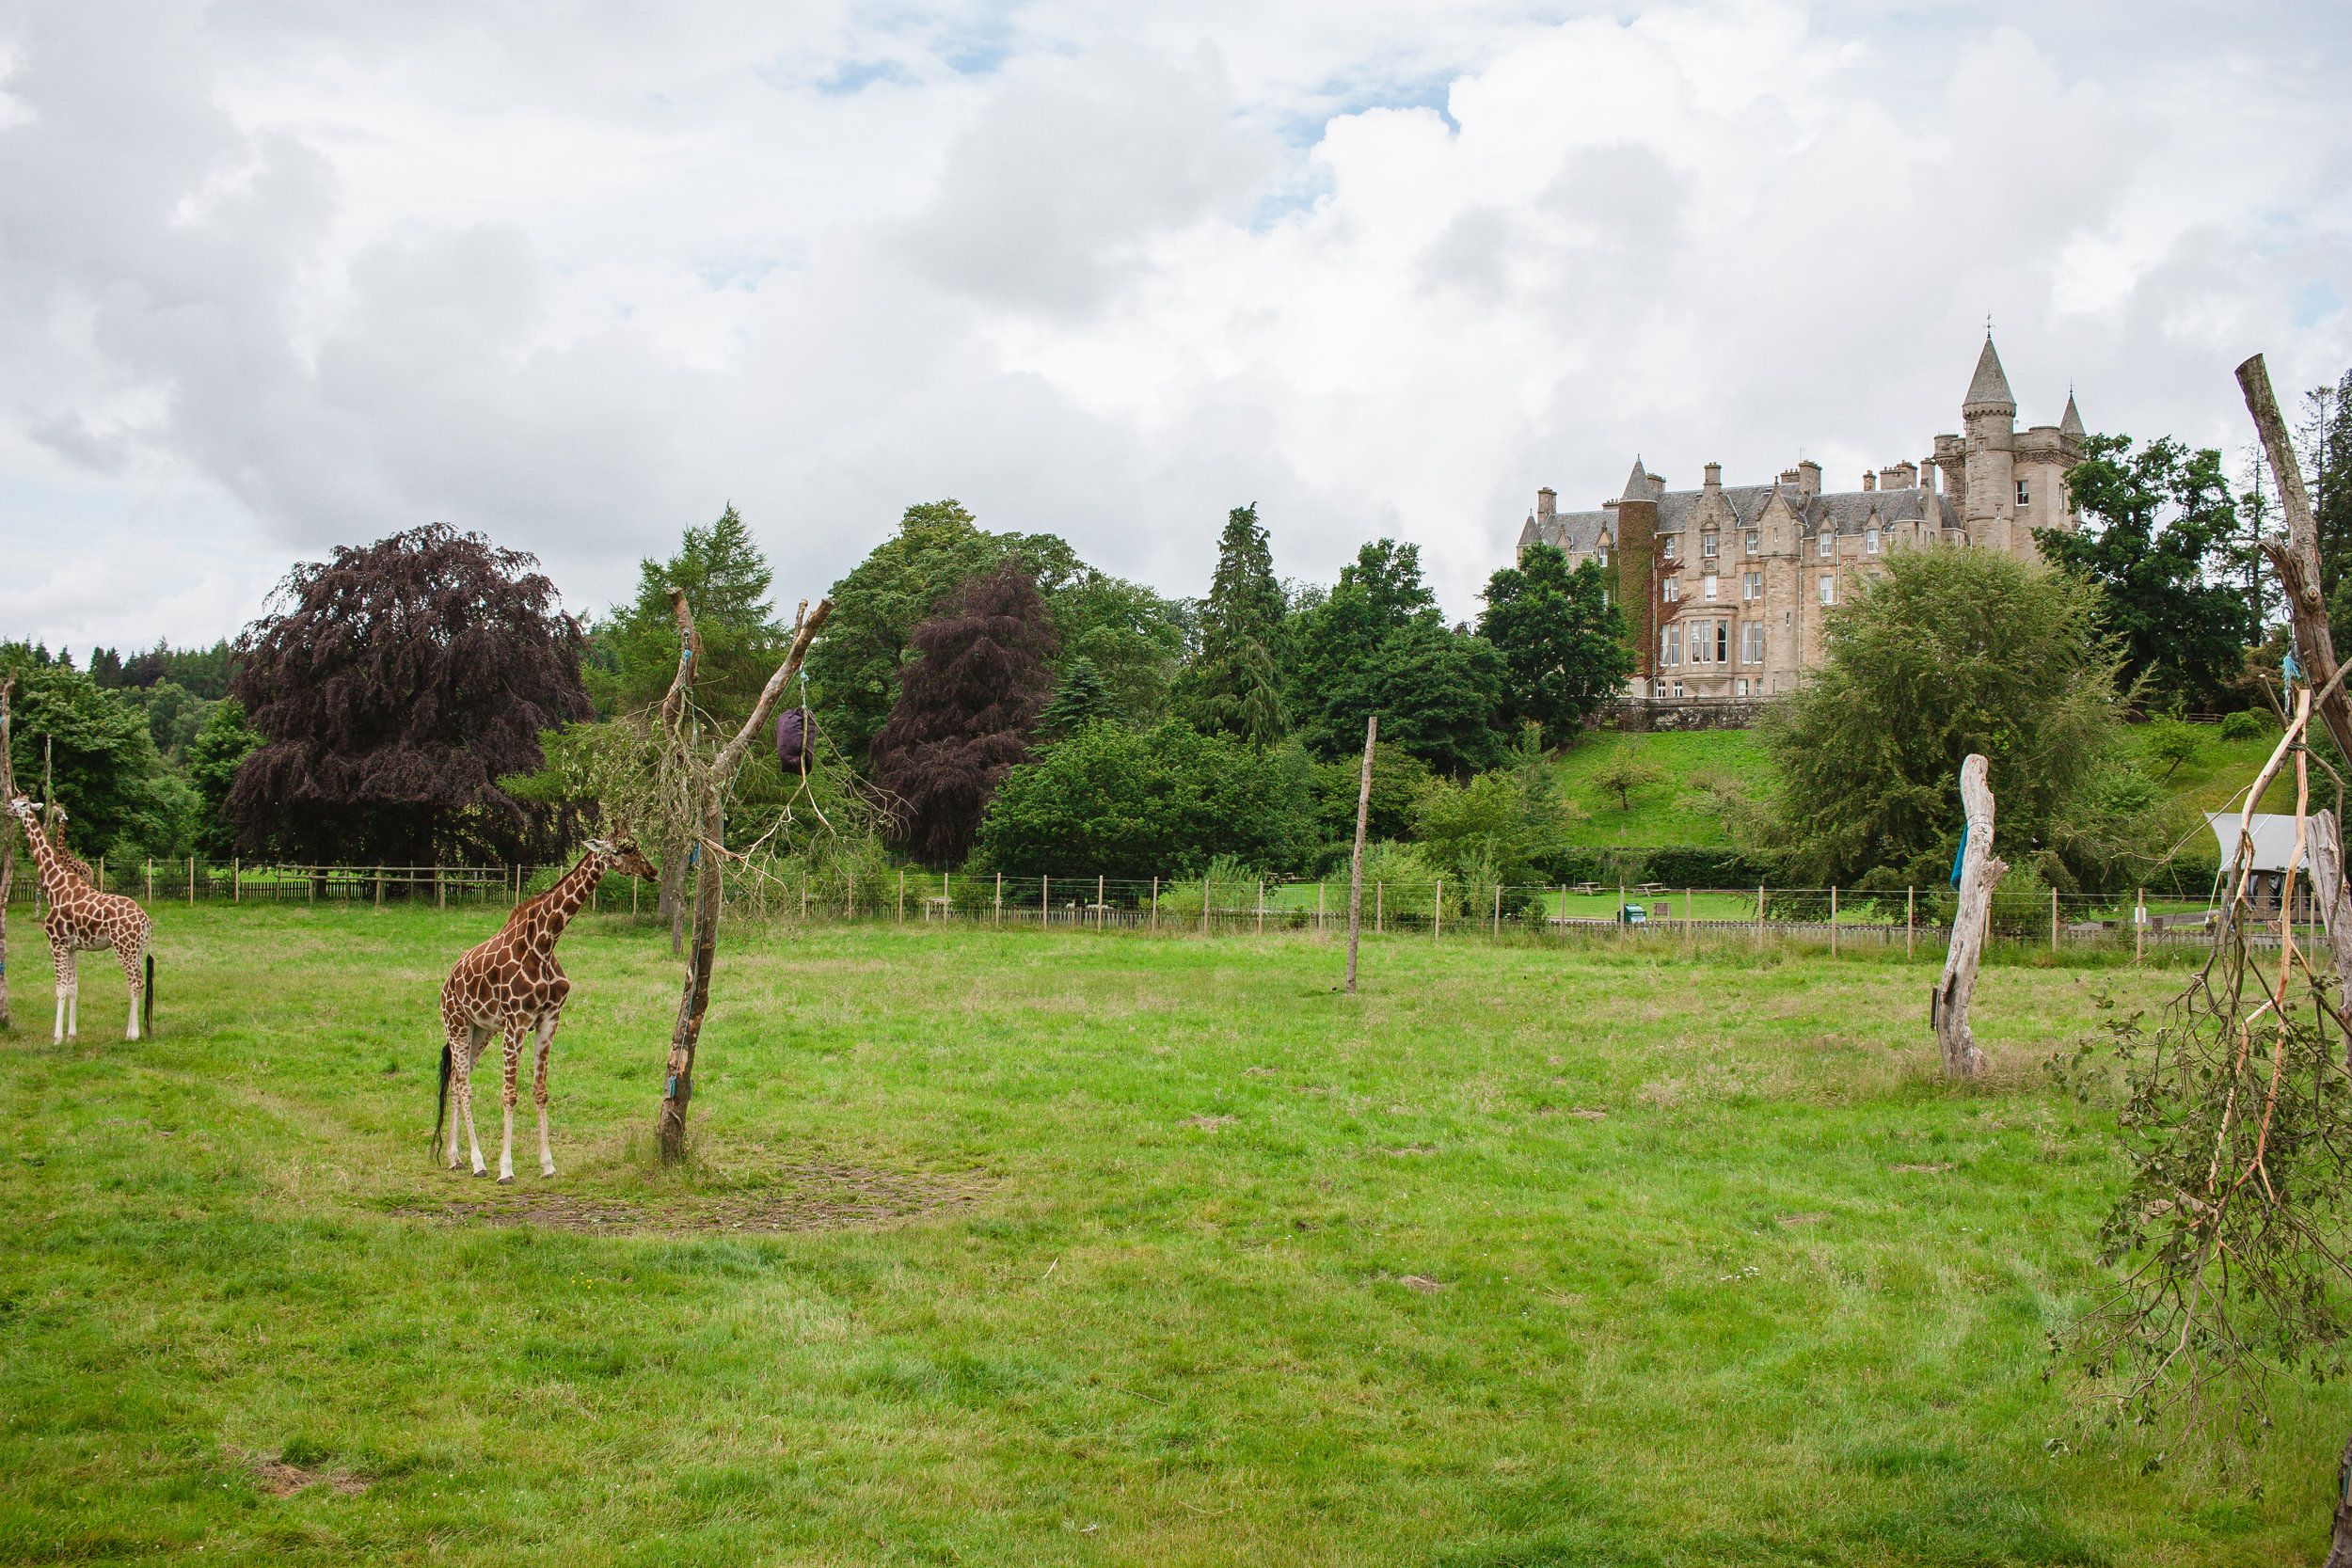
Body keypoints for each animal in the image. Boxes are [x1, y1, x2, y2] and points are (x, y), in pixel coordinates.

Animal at [7, 799, 151, 1043]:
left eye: (22, 803)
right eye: (14, 802)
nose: (7, 808)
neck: (54, 885)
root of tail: (145, 920)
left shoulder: (56, 943)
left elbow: (60, 988)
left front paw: (56, 1038)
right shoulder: (72, 946)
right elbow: (74, 987)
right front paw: (71, 1035)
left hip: (124, 948)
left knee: (135, 982)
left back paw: (132, 1035)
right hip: (137, 949)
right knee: (138, 982)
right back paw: (133, 1032)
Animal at [437, 841, 659, 1184]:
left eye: (636, 846)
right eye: (619, 851)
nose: (651, 870)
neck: (544, 942)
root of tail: (447, 984)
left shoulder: (548, 1020)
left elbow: (540, 1091)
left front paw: (548, 1165)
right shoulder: (516, 1022)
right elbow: (509, 1093)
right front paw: (506, 1168)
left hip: (481, 1029)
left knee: (456, 1079)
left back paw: (454, 1158)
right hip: (456, 1024)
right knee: (464, 1085)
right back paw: (478, 1163)